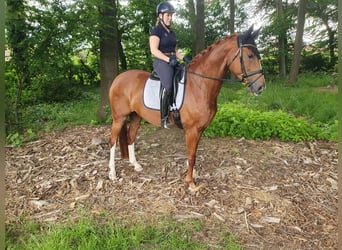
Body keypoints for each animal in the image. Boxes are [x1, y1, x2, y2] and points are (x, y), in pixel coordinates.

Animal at [108, 26, 266, 191]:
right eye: (249, 56)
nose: (260, 87)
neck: (199, 84)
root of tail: (118, 79)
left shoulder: (200, 129)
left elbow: (194, 153)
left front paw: (192, 175)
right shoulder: (191, 130)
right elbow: (191, 155)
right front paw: (190, 183)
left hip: (136, 116)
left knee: (131, 137)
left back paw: (136, 165)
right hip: (118, 118)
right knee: (112, 141)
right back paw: (112, 173)